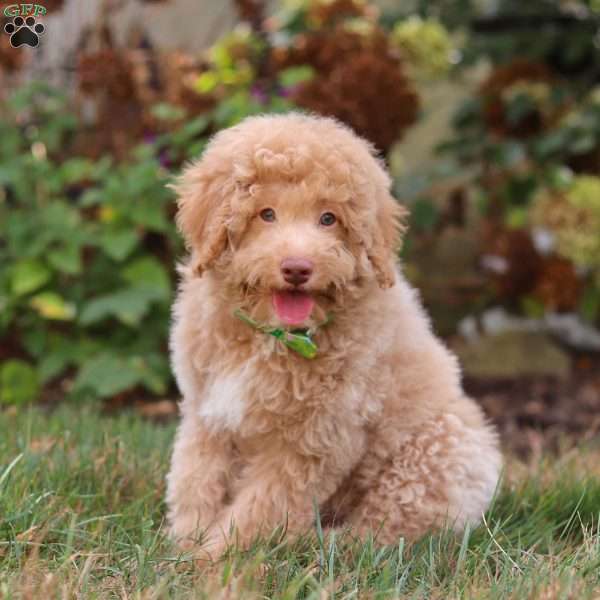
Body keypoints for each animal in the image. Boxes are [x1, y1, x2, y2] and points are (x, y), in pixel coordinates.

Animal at [165, 111, 502, 552]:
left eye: (328, 219)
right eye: (266, 213)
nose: (297, 268)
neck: (272, 336)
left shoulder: (314, 440)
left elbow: (264, 503)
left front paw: (220, 554)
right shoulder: (207, 410)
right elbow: (196, 479)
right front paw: (184, 545)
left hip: (438, 451)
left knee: (383, 529)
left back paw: (323, 545)